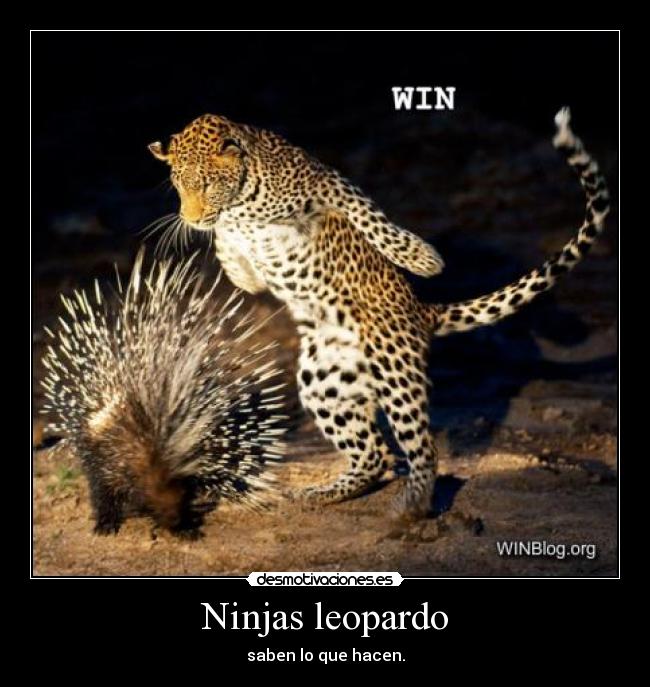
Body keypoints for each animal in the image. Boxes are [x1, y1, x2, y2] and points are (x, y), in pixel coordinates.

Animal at [148, 107, 610, 516]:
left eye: (208, 184)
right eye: (178, 186)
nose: (190, 217)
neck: (241, 201)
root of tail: (423, 312)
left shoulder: (326, 181)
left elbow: (369, 216)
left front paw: (420, 258)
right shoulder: (233, 230)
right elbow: (227, 249)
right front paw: (239, 269)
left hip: (394, 370)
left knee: (423, 449)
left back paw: (412, 507)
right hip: (323, 381)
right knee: (377, 456)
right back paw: (323, 492)